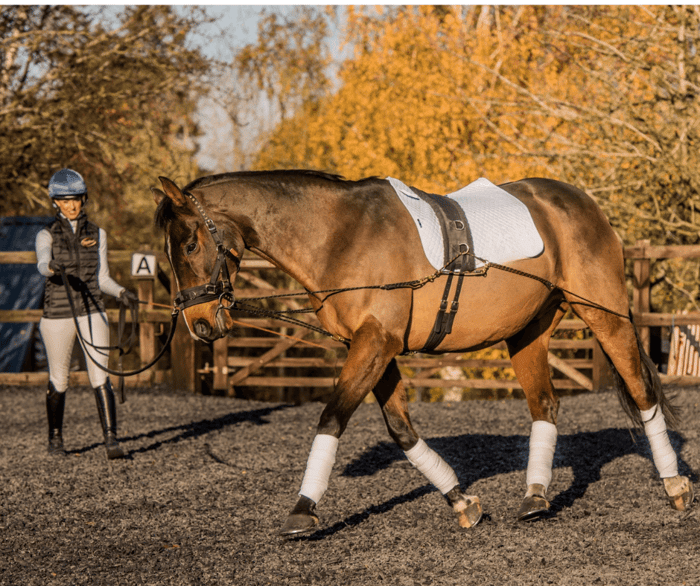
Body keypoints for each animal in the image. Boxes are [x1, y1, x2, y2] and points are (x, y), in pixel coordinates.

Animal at [152, 170, 694, 535]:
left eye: (192, 244)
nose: (200, 326)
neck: (340, 235)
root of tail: (581, 202)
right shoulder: (374, 346)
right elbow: (401, 430)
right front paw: (461, 500)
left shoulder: (376, 342)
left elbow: (331, 418)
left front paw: (303, 510)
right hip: (527, 332)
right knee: (545, 405)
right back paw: (536, 497)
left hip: (604, 314)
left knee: (641, 392)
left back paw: (675, 487)